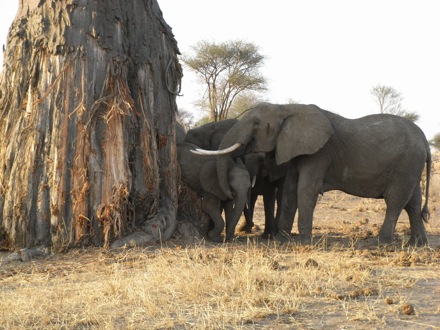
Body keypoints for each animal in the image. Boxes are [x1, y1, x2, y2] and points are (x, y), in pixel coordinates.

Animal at [193, 102, 434, 245]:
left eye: (256, 123)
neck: (286, 108)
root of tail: (425, 140)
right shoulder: (294, 150)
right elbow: (290, 191)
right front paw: (282, 239)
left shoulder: (319, 154)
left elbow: (305, 189)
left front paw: (303, 241)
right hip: (410, 166)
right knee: (413, 202)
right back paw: (418, 243)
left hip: (406, 164)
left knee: (395, 200)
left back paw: (382, 243)